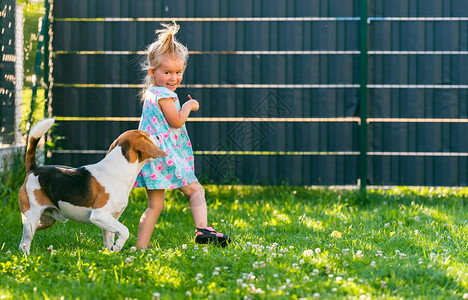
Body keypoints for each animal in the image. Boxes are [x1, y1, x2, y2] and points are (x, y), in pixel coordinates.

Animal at [18, 118, 168, 254]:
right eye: (146, 136)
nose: (158, 136)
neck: (119, 169)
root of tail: (34, 168)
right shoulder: (99, 215)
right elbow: (124, 230)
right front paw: (118, 246)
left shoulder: (111, 218)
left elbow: (109, 240)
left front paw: (110, 253)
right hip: (32, 217)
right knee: (26, 240)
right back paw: (27, 257)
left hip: (45, 221)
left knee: (22, 239)